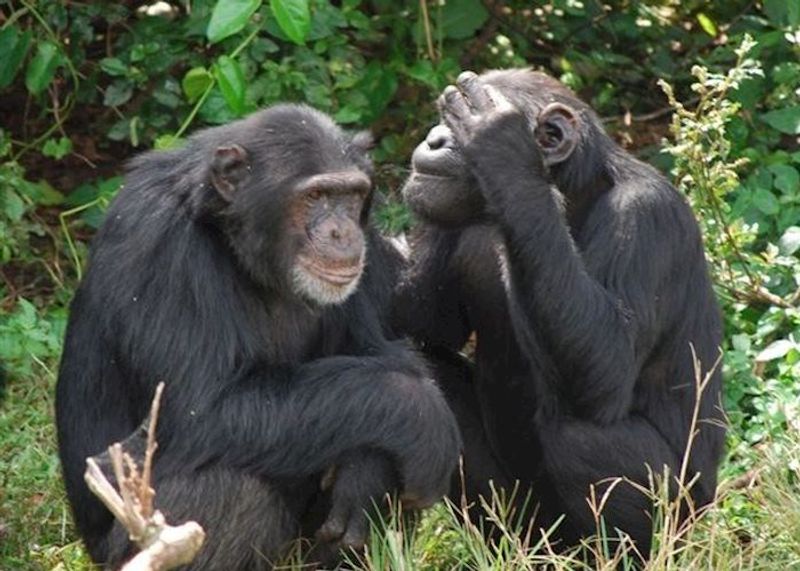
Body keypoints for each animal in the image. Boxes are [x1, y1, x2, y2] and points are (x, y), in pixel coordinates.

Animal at [53, 101, 460, 568]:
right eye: (315, 196)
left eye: (351, 196)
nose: (342, 231)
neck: (233, 239)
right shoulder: (156, 244)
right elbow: (201, 409)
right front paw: (421, 414)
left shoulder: (372, 247)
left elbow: (383, 352)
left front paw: (366, 476)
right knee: (227, 490)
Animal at [394, 68, 724, 556]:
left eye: (456, 120)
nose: (434, 138)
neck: (573, 195)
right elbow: (418, 313)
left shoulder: (646, 218)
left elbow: (608, 364)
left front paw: (501, 148)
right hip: (527, 524)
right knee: (431, 377)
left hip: (680, 518)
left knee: (582, 436)